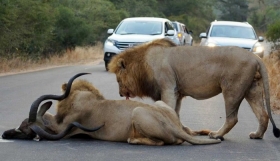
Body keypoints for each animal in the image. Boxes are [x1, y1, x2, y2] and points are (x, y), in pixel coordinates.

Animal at [2, 73, 221, 145]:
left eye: (25, 130)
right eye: (22, 123)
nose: (5, 134)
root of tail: (173, 126)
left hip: (137, 112)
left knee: (162, 142)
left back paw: (133, 139)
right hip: (159, 105)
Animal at [107, 38, 280, 140]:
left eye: (118, 80)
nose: (120, 94)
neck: (143, 65)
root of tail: (255, 57)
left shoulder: (168, 87)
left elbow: (168, 109)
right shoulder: (177, 92)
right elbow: (175, 113)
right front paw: (183, 130)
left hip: (232, 89)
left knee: (232, 118)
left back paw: (216, 134)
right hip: (252, 89)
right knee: (263, 115)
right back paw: (257, 135)